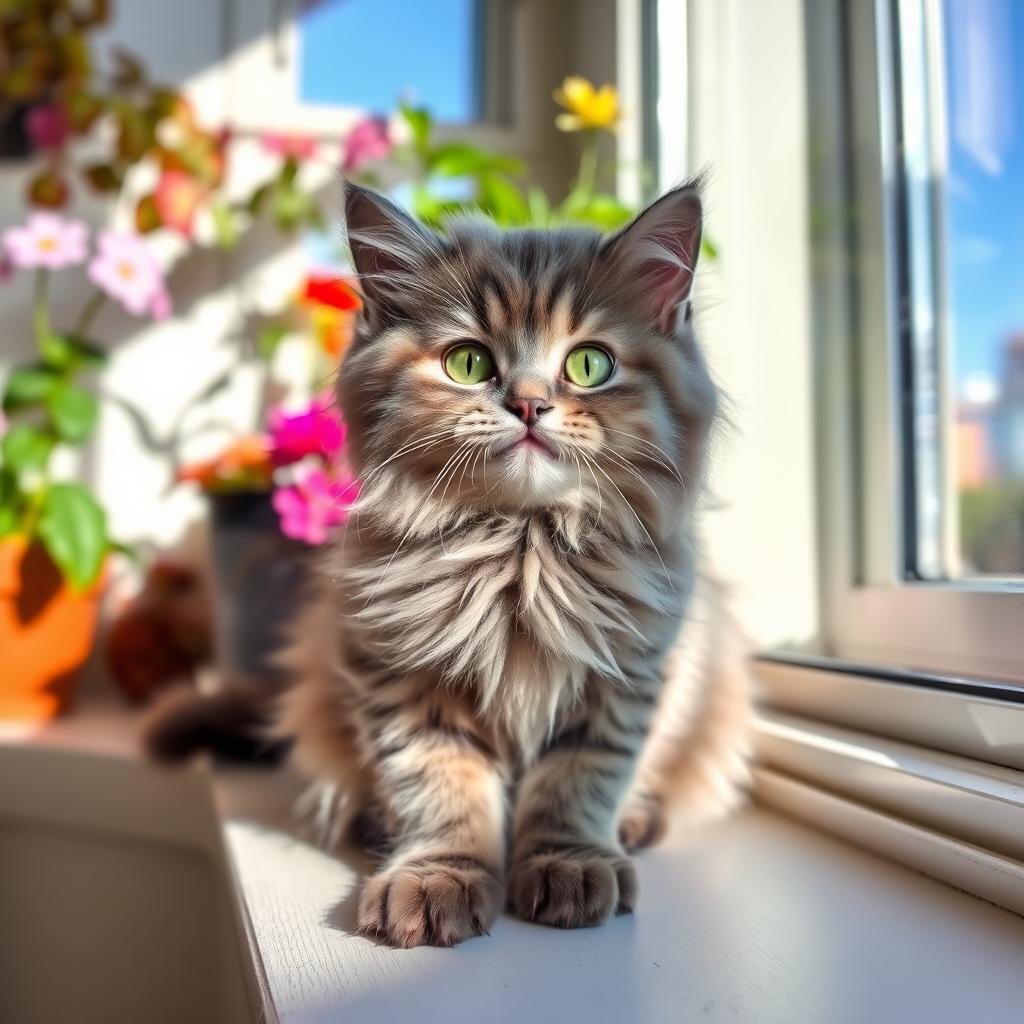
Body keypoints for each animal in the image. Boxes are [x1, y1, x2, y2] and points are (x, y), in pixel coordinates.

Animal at [274, 174, 753, 942]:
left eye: (590, 364)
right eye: (468, 363)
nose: (528, 405)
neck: (523, 555)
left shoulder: (626, 675)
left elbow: (579, 780)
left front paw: (569, 864)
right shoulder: (398, 673)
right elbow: (439, 785)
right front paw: (439, 876)